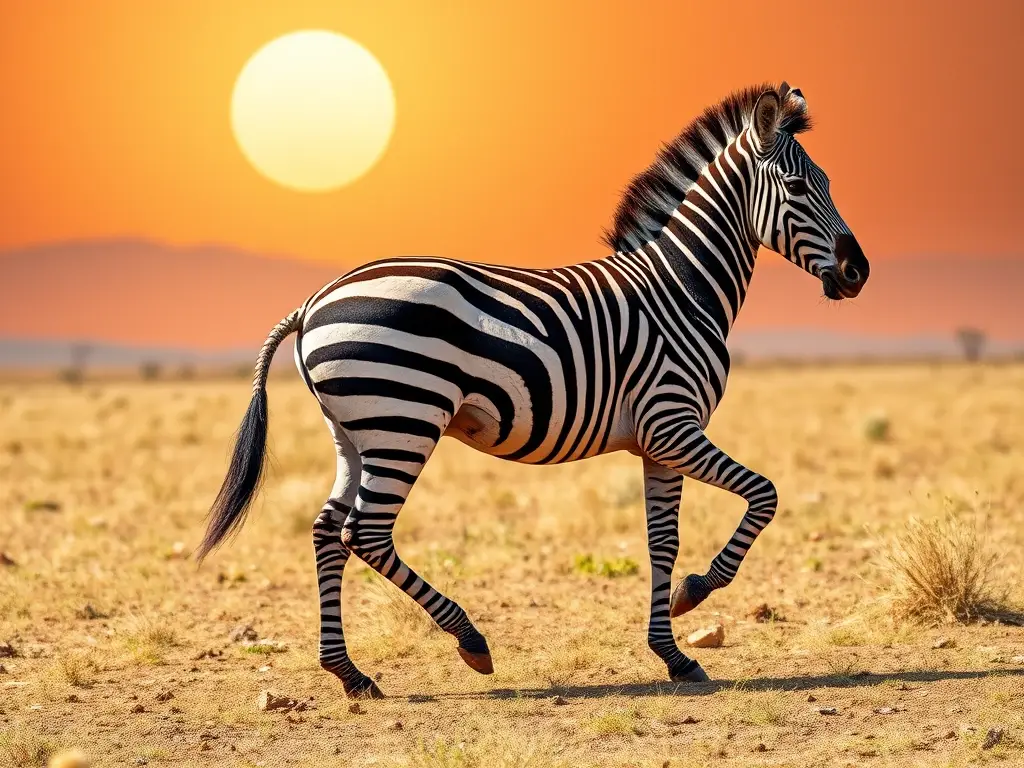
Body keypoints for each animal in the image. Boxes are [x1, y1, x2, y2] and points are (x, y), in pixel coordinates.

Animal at [196, 82, 868, 698]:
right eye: (799, 188)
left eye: (830, 183)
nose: (858, 273)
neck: (681, 287)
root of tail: (313, 302)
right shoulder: (672, 425)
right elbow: (765, 495)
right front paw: (694, 594)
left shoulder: (657, 443)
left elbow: (663, 542)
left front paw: (674, 654)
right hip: (404, 419)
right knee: (363, 533)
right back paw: (469, 640)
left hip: (354, 433)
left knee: (325, 530)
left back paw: (350, 673)